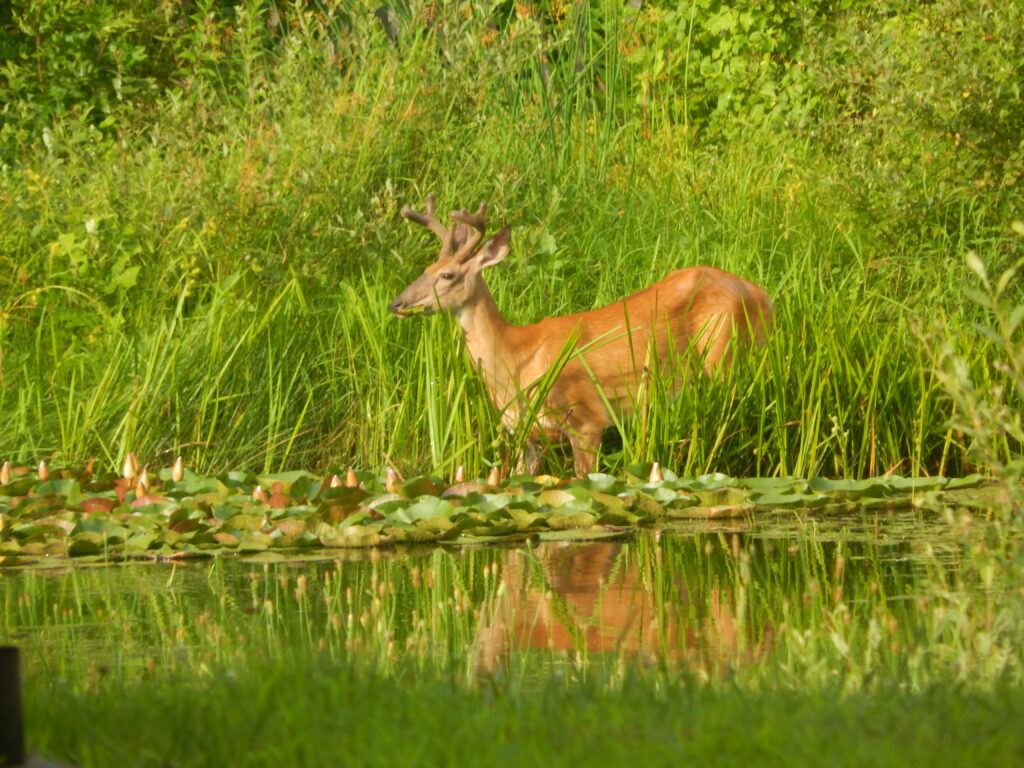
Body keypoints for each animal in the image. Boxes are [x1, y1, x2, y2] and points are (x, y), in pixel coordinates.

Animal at [387, 195, 770, 479]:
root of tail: (761, 295)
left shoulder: (587, 419)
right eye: (426, 269)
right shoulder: (527, 436)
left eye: (448, 275)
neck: (516, 358)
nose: (396, 303)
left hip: (723, 358)